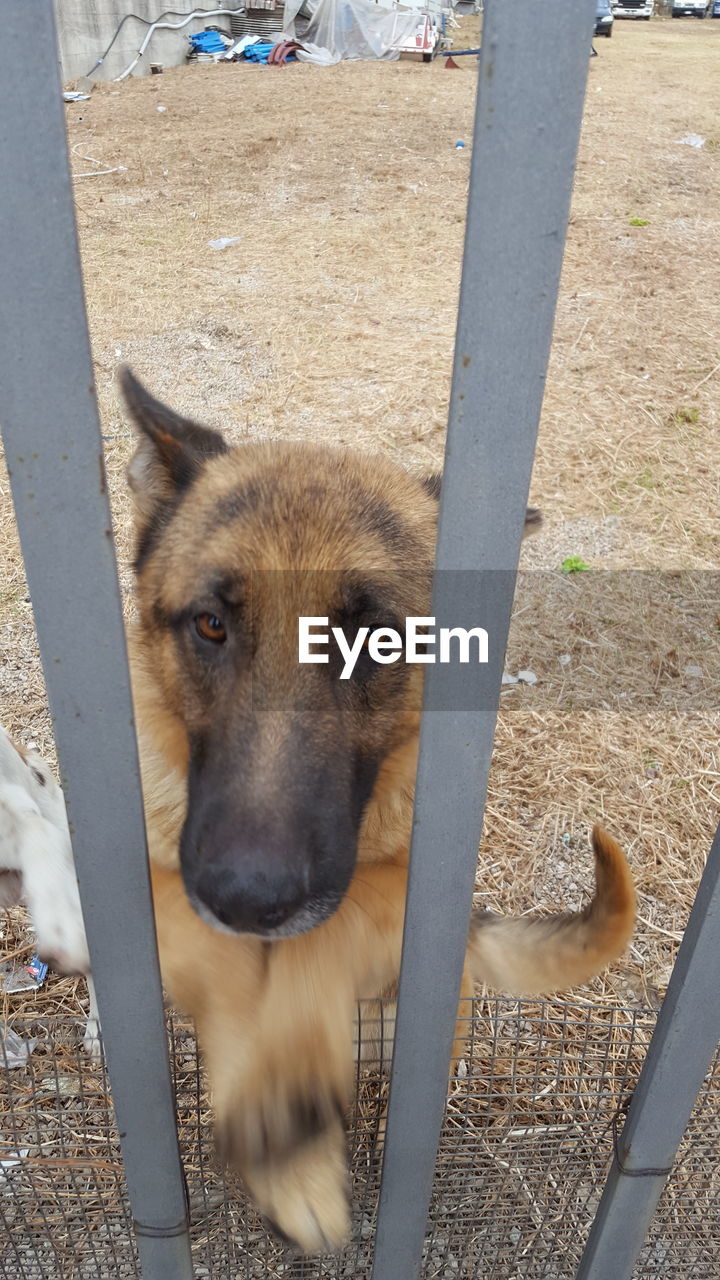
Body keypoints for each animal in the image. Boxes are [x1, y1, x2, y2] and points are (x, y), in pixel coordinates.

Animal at [120, 368, 630, 1249]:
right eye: (211, 625)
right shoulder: (152, 878)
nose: (247, 898)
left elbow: (337, 931)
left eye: (377, 645)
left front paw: (288, 1095)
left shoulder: (405, 894)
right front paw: (287, 1147)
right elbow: (209, 953)